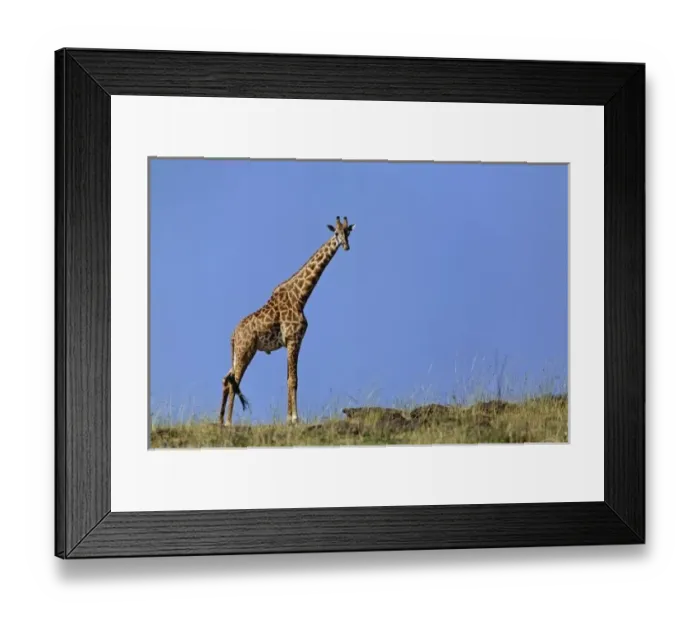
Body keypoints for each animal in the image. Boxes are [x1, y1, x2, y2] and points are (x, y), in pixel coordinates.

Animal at [219, 216, 356, 427]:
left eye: (348, 232)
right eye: (336, 233)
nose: (346, 246)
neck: (301, 297)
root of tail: (233, 335)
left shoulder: (289, 342)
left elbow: (287, 379)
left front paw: (288, 418)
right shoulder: (294, 339)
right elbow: (294, 379)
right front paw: (295, 418)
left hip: (240, 352)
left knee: (226, 379)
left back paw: (219, 420)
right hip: (245, 350)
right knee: (235, 380)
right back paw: (228, 422)